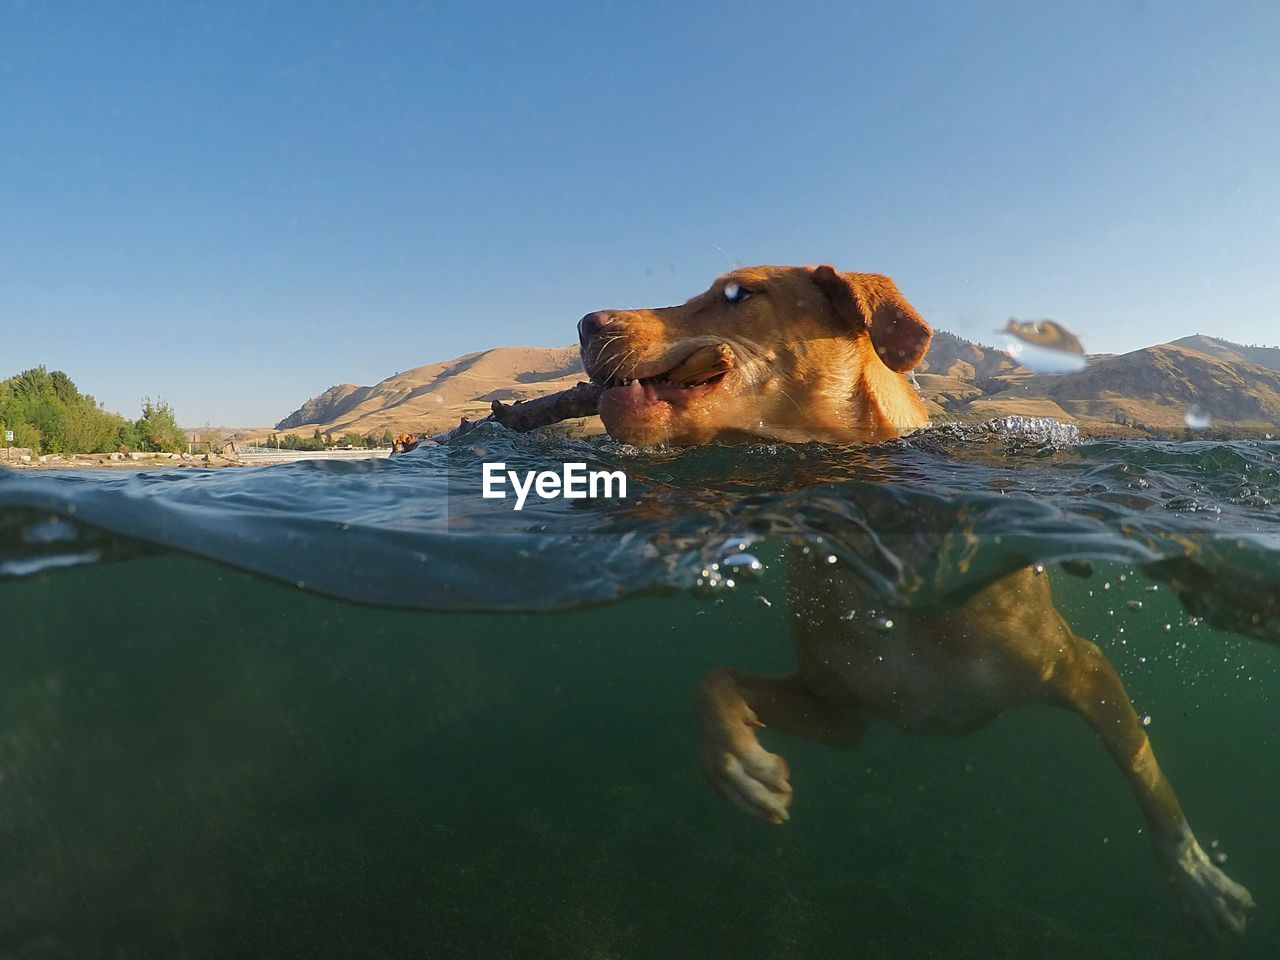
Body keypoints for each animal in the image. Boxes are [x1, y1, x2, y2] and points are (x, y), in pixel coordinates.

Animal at [578, 264, 1249, 942]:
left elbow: (1151, 781)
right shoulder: (840, 711)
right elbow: (714, 681)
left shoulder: (1082, 669)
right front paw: (735, 761)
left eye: (738, 293)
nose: (586, 322)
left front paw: (1198, 878)